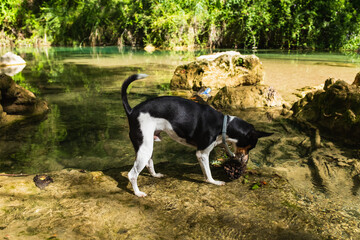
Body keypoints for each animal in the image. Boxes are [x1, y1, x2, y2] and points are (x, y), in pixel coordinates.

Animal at [121, 73, 272, 197]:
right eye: (250, 147)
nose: (244, 161)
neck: (224, 124)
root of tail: (132, 111)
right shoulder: (202, 153)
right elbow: (208, 172)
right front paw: (214, 182)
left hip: (148, 146)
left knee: (149, 163)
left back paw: (155, 175)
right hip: (145, 148)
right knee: (132, 174)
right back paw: (138, 193)